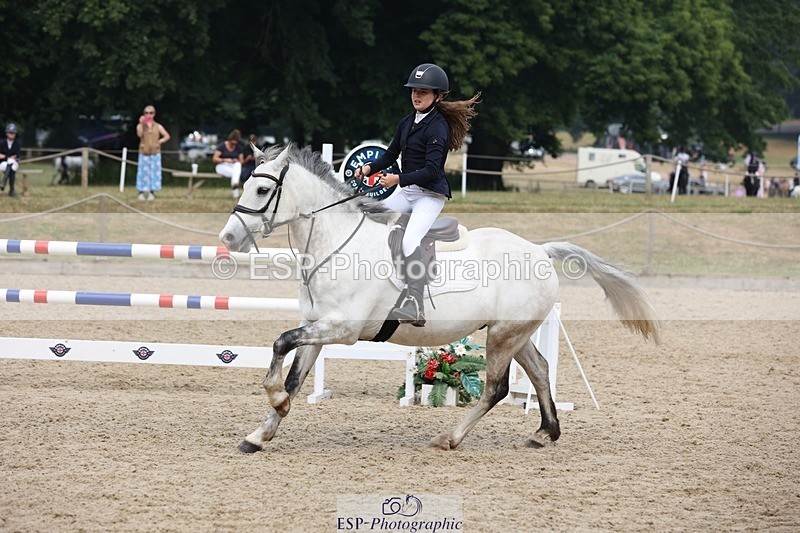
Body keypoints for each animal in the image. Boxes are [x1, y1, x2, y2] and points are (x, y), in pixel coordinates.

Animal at [219, 144, 661, 453]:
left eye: (262, 188)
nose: (228, 238)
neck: (336, 243)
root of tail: (539, 249)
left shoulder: (341, 328)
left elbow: (280, 343)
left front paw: (273, 401)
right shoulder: (317, 327)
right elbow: (294, 376)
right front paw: (261, 432)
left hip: (503, 335)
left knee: (497, 389)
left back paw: (449, 438)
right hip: (514, 333)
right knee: (539, 370)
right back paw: (543, 433)